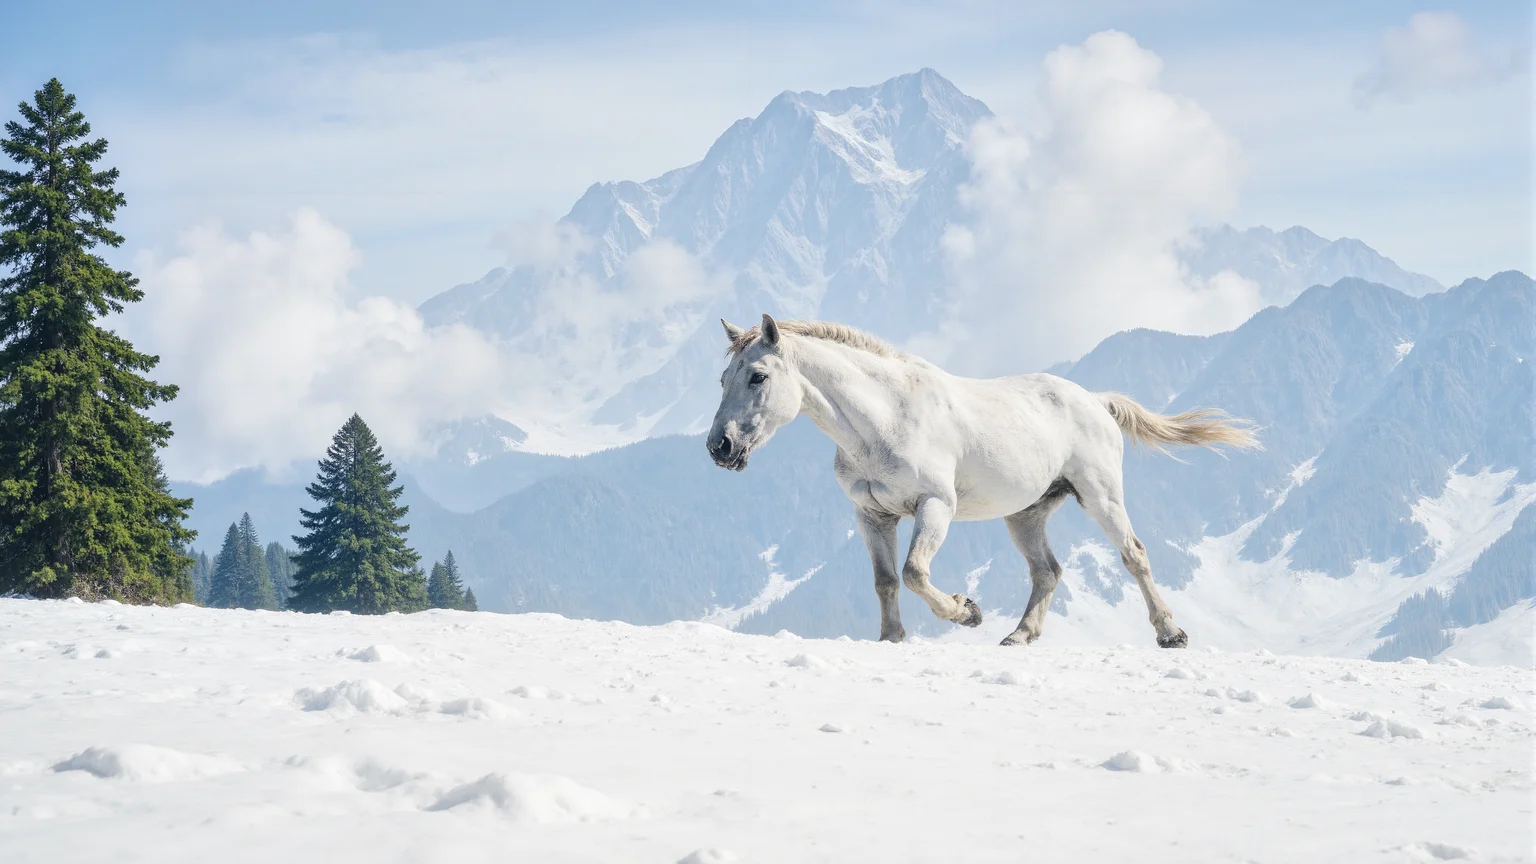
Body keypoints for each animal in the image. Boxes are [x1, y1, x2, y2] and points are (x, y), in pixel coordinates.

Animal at [705, 314, 1258, 648]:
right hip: (1026, 514)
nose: (720, 447)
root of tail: (1095, 401)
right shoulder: (872, 515)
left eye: (758, 376)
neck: (886, 417)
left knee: (1134, 555)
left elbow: (914, 572)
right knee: (1047, 572)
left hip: (1101, 497)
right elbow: (886, 580)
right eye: (723, 378)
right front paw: (892, 639)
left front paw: (966, 611)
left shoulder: (934, 505)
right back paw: (1019, 636)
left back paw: (1170, 633)